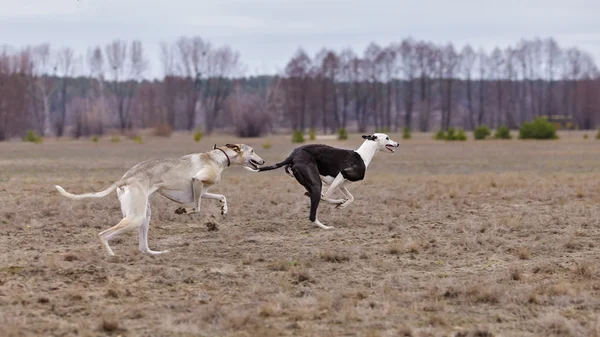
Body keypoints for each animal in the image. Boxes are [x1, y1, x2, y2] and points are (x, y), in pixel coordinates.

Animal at [54, 143, 264, 256]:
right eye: (253, 150)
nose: (263, 161)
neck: (217, 157)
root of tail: (126, 178)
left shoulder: (201, 190)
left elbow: (220, 196)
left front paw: (223, 208)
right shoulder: (197, 182)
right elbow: (196, 208)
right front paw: (183, 211)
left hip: (144, 215)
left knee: (143, 246)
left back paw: (155, 253)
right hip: (136, 217)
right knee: (103, 234)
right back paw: (113, 256)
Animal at [248, 133, 398, 227]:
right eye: (387, 137)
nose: (397, 144)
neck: (362, 155)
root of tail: (292, 155)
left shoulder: (341, 184)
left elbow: (351, 197)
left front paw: (342, 205)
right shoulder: (342, 174)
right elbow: (326, 196)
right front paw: (339, 203)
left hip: (310, 182)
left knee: (314, 196)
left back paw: (337, 203)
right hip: (316, 183)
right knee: (316, 204)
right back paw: (326, 226)